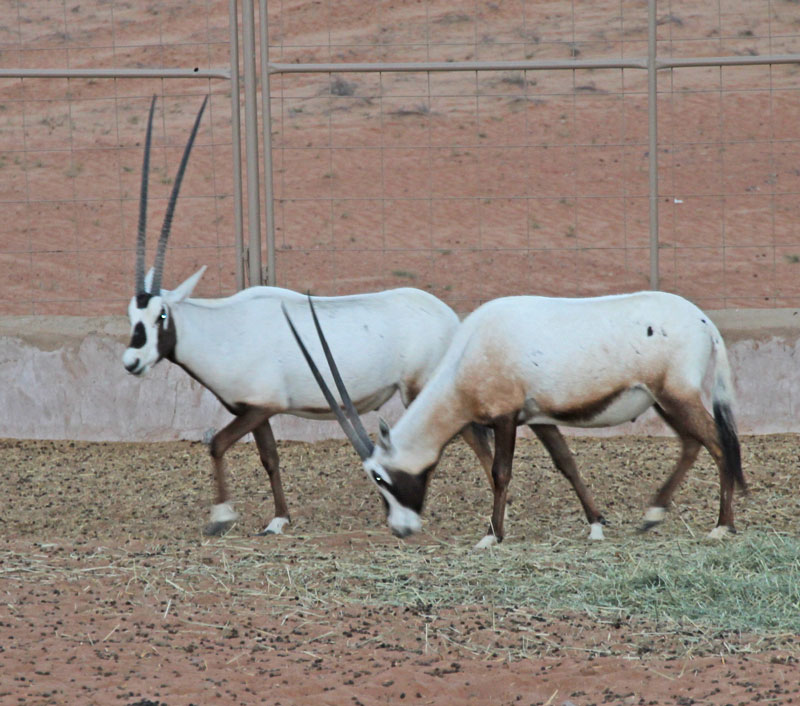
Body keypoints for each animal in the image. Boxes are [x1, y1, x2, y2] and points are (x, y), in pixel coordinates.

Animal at [123, 95, 494, 532]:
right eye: (132, 314)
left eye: (161, 315)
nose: (132, 361)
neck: (222, 329)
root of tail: (450, 317)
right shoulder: (255, 410)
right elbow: (268, 458)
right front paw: (278, 519)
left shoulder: (262, 407)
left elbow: (217, 445)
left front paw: (222, 515)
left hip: (422, 389)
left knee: (476, 440)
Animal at [284, 292, 748, 544]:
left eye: (380, 477)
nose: (400, 529)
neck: (471, 351)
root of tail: (705, 321)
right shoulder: (539, 418)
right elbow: (566, 463)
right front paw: (596, 525)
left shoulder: (506, 417)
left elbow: (499, 471)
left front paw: (492, 534)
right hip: (662, 401)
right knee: (692, 444)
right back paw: (653, 515)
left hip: (675, 397)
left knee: (716, 442)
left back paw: (721, 526)